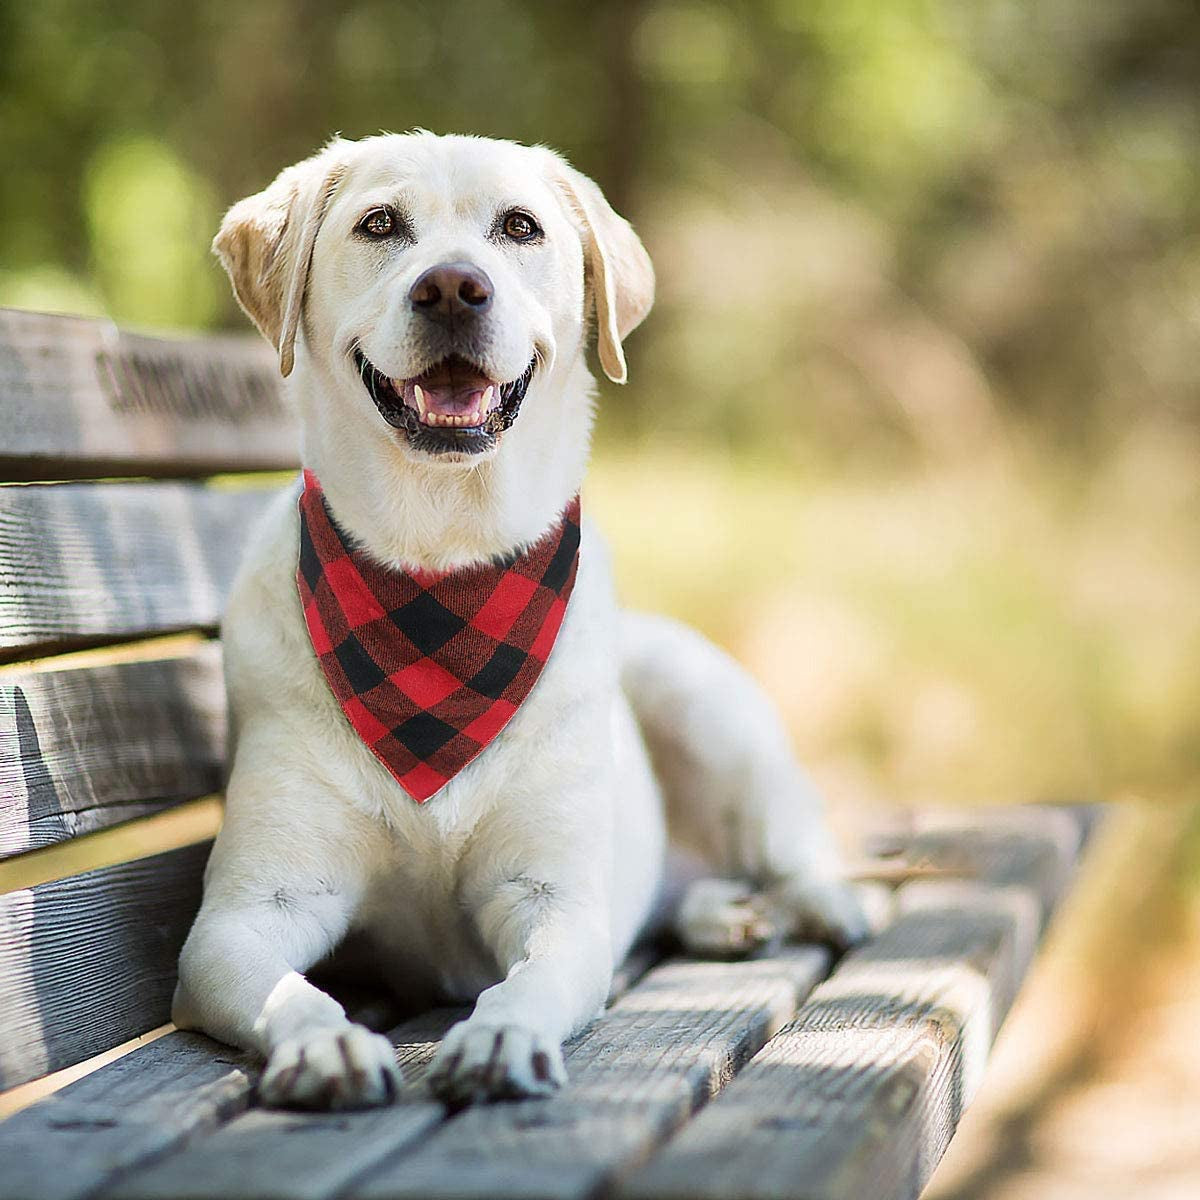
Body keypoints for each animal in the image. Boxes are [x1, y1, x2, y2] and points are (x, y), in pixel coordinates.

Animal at [174, 131, 868, 1104]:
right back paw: (718, 913)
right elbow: (290, 989)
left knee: (787, 843)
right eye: (379, 224)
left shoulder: (555, 903)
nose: (452, 287)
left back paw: (817, 905)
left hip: (703, 702)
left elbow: (528, 981)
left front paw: (500, 1037)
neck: (442, 583)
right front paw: (327, 1043)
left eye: (520, 227)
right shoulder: (243, 917)